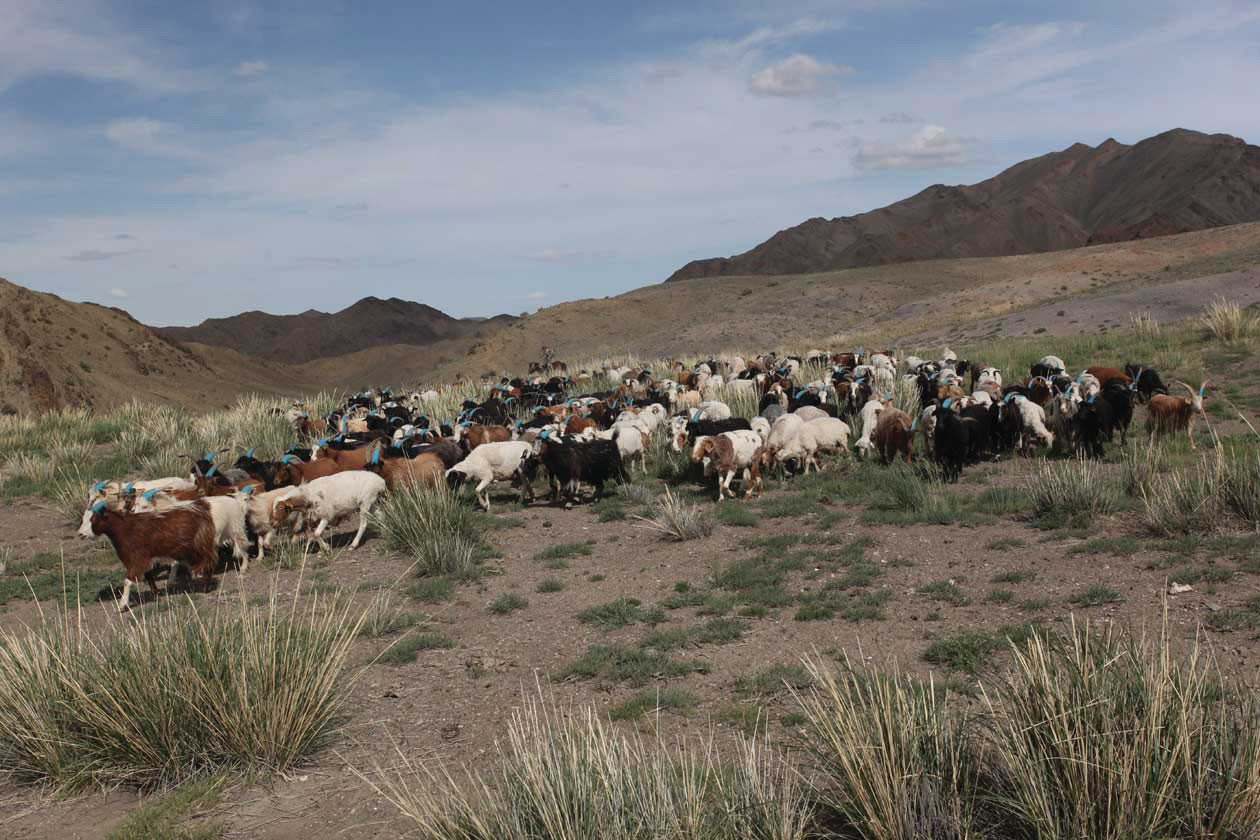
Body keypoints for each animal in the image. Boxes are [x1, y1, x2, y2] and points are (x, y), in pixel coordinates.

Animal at [78, 498, 217, 612]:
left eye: (93, 519)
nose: (80, 534)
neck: (125, 529)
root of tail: (202, 508)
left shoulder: (137, 558)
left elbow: (127, 581)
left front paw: (122, 605)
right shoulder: (145, 559)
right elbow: (149, 575)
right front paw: (156, 593)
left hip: (199, 546)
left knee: (207, 563)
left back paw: (205, 587)